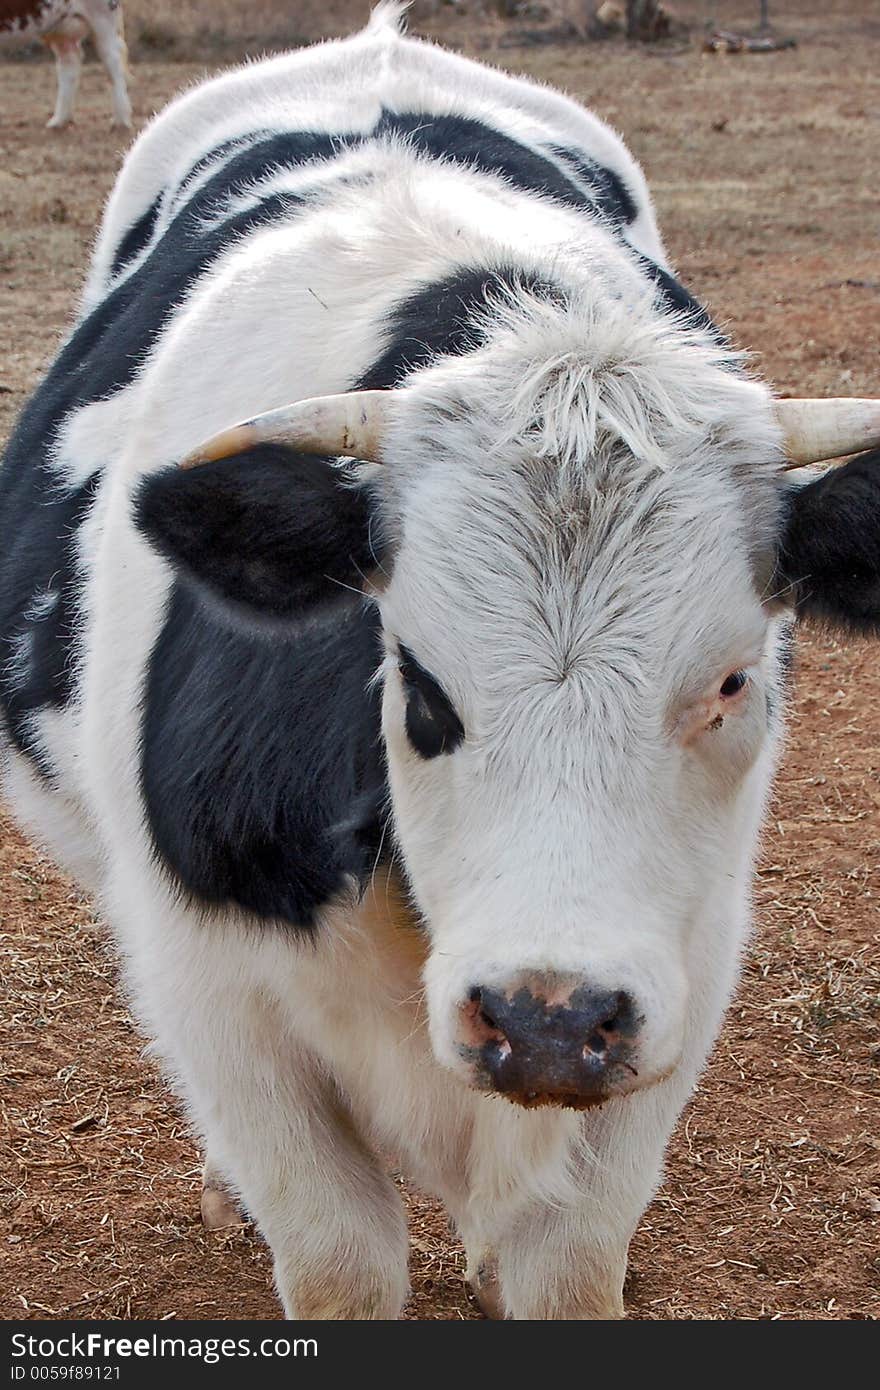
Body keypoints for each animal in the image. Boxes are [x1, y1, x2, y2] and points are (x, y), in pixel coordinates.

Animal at [0, 0, 130, 129]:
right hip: (60, 29)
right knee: (70, 62)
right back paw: (59, 121)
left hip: (103, 16)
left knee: (113, 59)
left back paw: (120, 121)